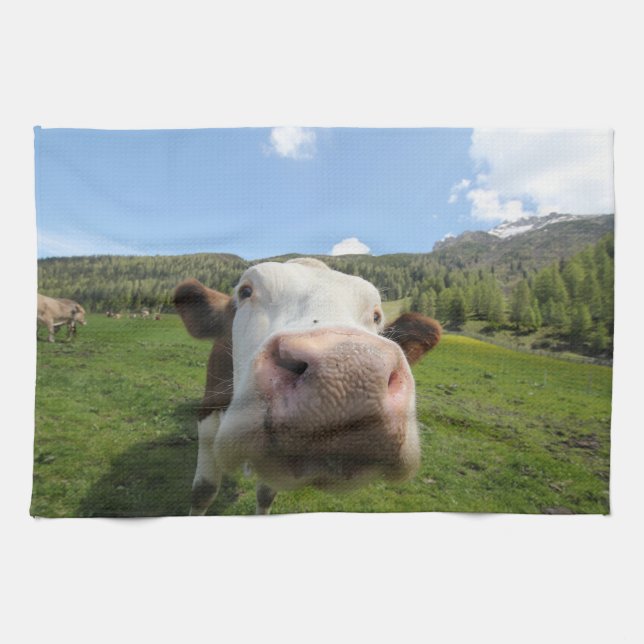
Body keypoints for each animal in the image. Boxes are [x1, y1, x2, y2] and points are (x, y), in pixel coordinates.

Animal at [174, 258, 441, 515]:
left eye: (376, 316)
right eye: (246, 291)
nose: (350, 372)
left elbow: (266, 495)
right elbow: (204, 491)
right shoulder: (208, 413)